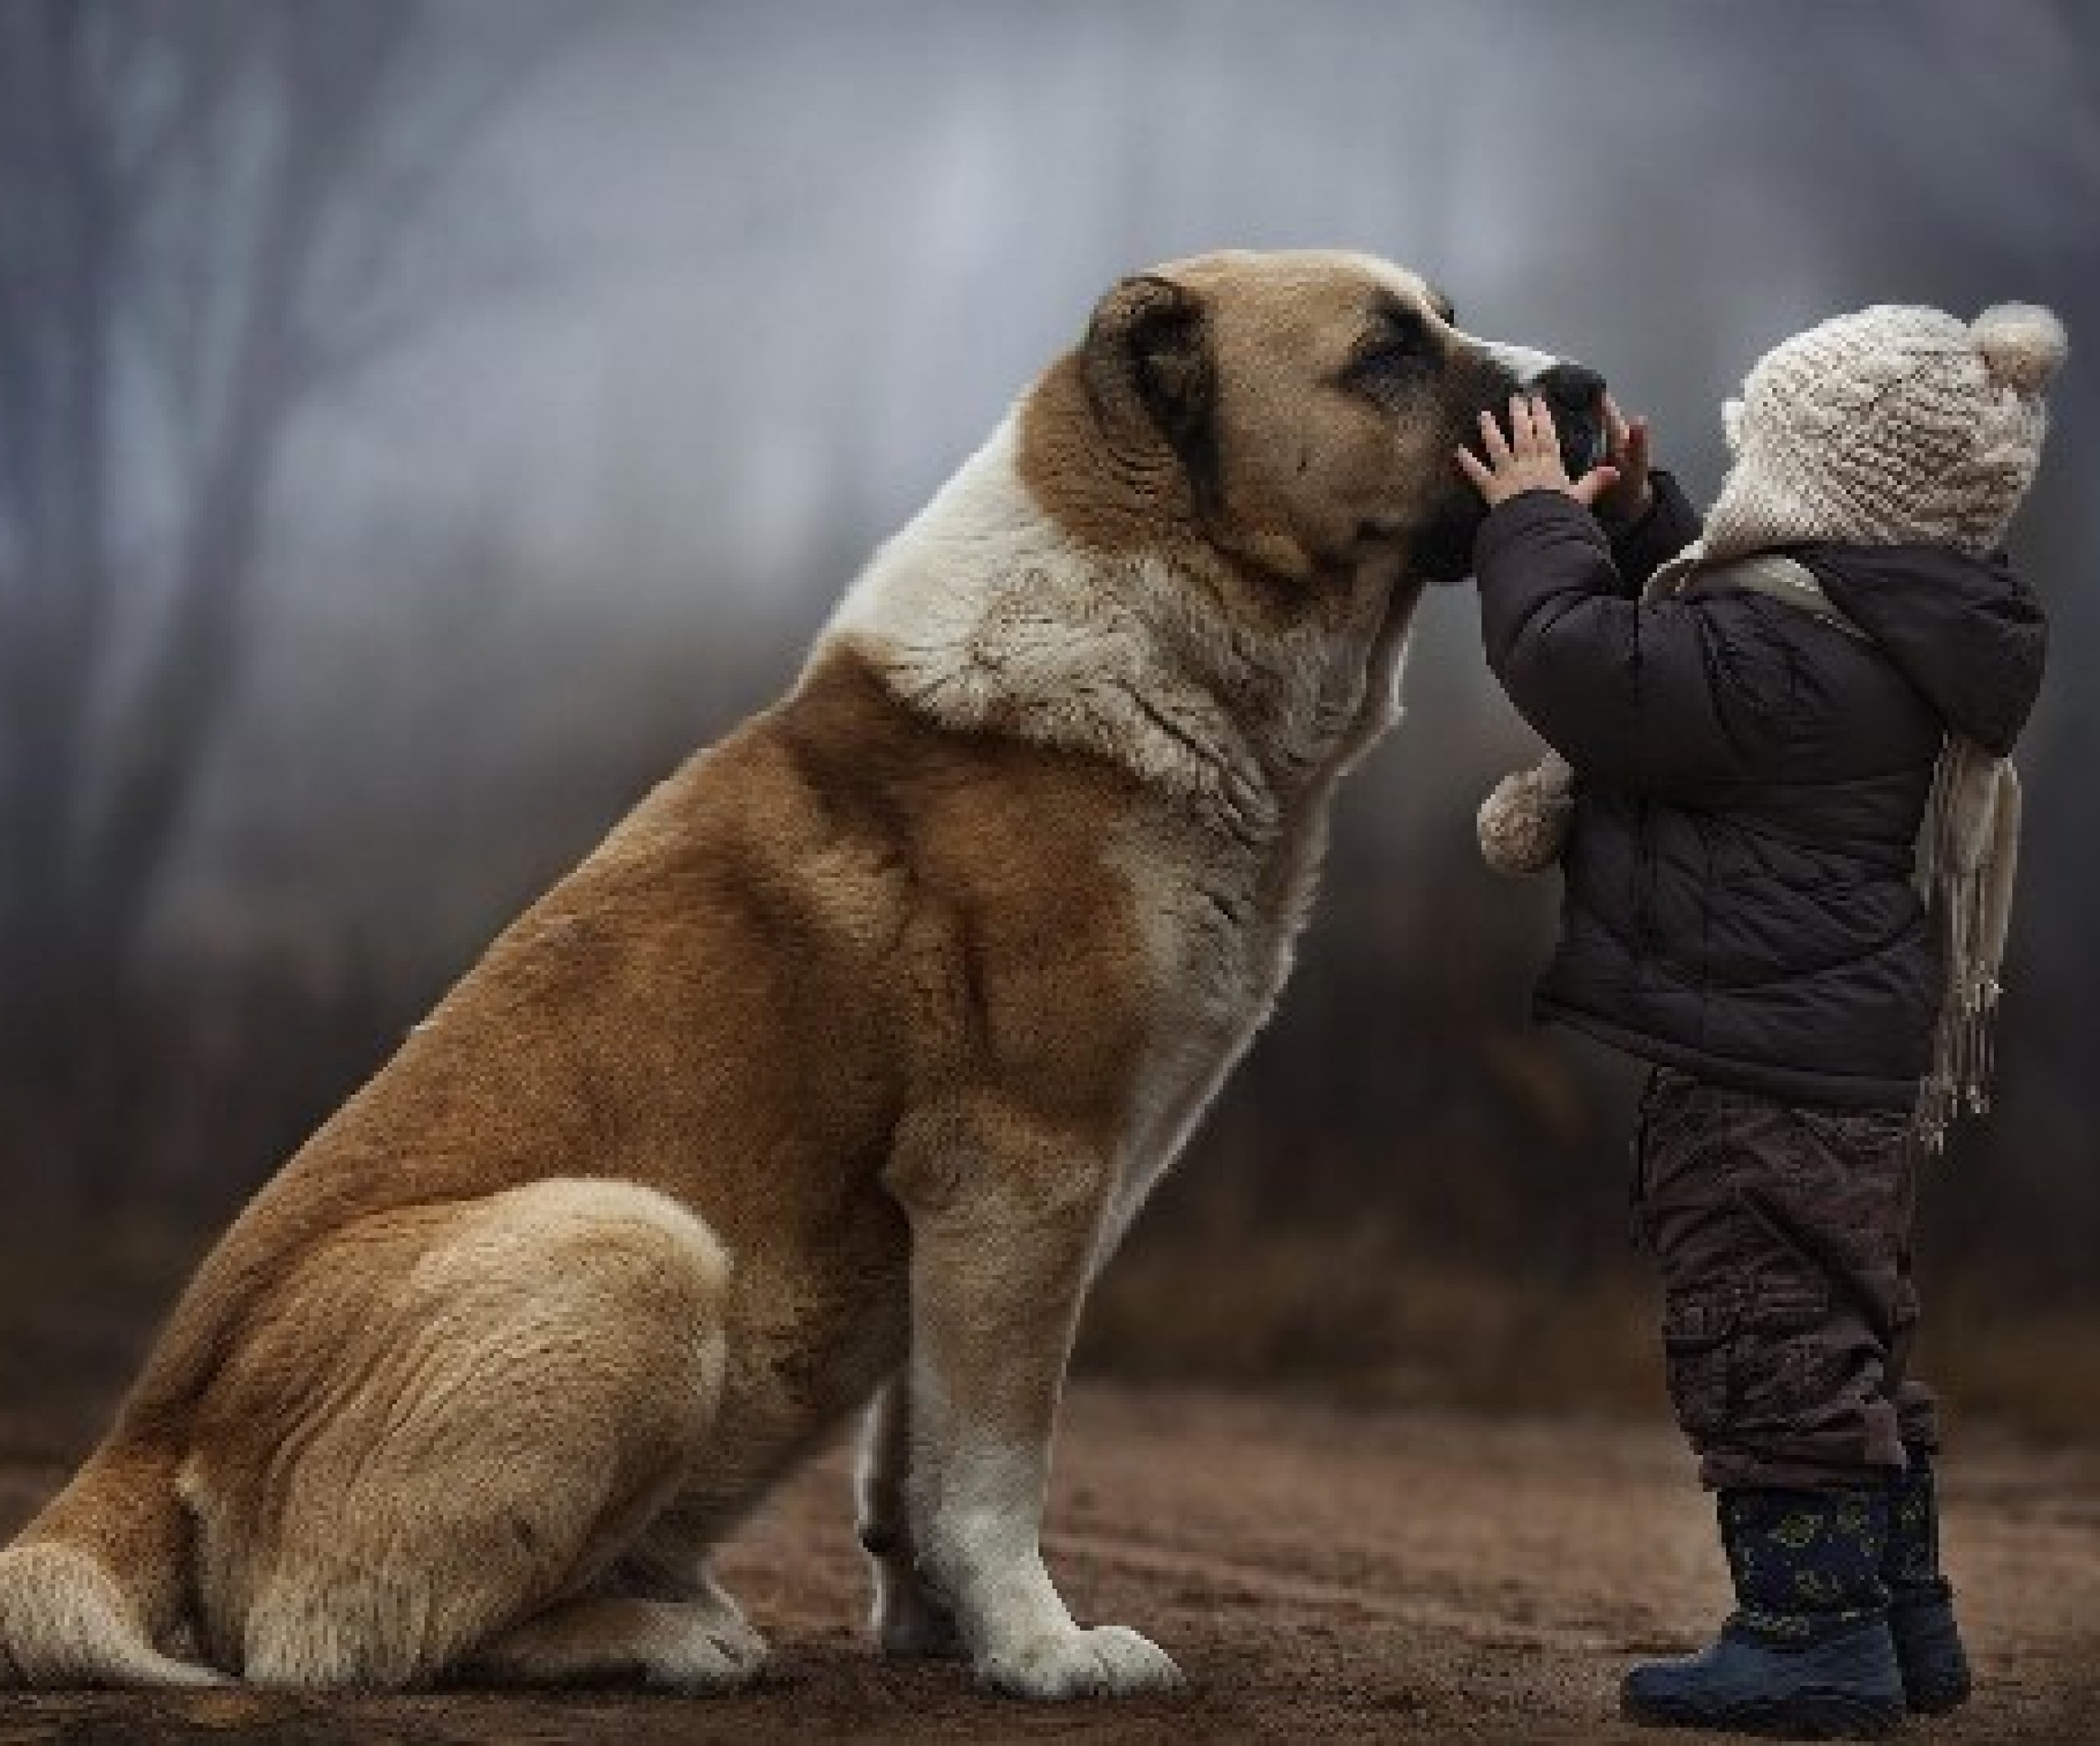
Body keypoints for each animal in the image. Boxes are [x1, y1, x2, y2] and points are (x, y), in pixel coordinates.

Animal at [0, 252, 1596, 1698]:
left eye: (1442, 318)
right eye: (1386, 354)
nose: (1582, 385)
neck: (1150, 628)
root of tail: (134, 1443)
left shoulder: (966, 1227)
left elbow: (919, 1455)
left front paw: (948, 1632)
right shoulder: (1023, 1175)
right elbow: (997, 1460)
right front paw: (1047, 1653)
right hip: (636, 1245)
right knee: (337, 1643)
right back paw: (663, 1636)